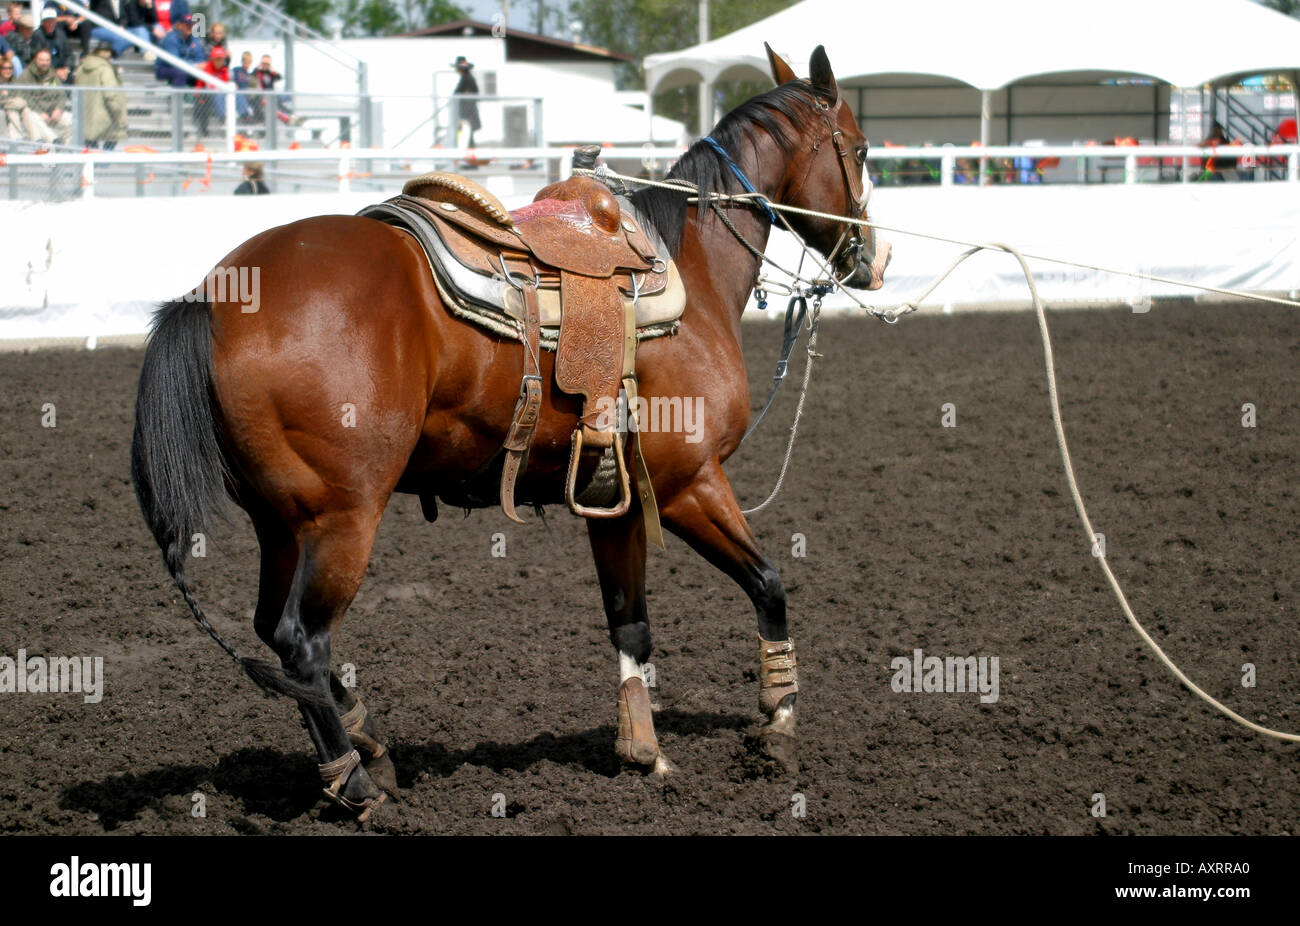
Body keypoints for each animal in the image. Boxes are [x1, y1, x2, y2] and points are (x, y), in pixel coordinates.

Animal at [129, 44, 890, 820]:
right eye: (860, 149)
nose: (871, 257)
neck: (690, 272)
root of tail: (213, 295)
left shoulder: (611, 498)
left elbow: (631, 621)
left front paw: (643, 750)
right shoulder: (689, 483)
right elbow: (768, 584)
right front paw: (778, 720)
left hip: (282, 524)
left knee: (273, 635)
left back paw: (367, 744)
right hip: (341, 519)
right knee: (302, 642)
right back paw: (357, 781)